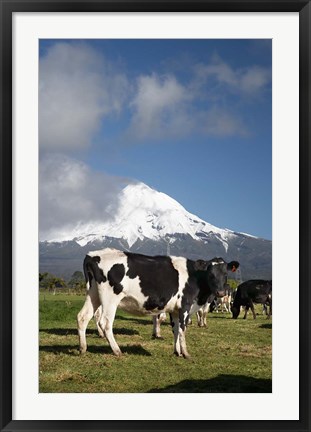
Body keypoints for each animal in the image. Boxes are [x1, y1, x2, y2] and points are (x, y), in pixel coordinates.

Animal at [77, 248, 239, 360]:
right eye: (211, 274)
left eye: (225, 274)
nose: (220, 293)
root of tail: (93, 255)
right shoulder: (185, 306)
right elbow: (183, 329)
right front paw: (186, 353)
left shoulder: (174, 309)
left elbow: (175, 329)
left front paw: (177, 352)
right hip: (110, 299)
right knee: (105, 322)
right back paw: (117, 350)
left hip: (93, 294)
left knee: (82, 317)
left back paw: (82, 348)